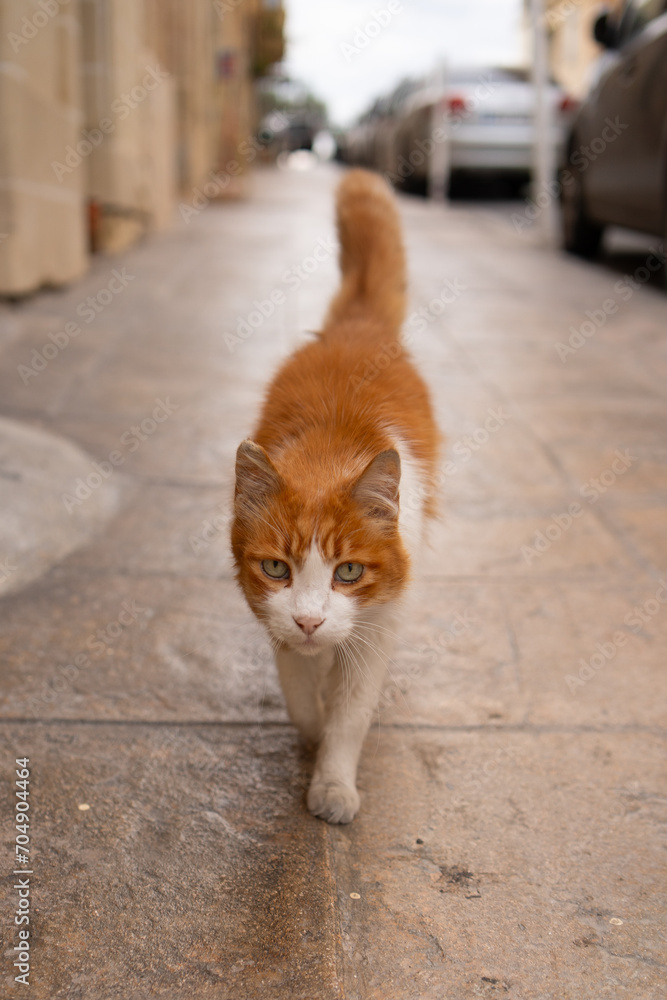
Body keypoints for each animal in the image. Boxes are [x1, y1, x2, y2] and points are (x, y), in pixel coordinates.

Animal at [232, 168, 440, 824]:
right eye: (277, 567)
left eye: (348, 571)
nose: (309, 620)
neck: (331, 448)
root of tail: (356, 327)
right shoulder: (272, 617)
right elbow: (300, 693)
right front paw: (313, 728)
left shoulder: (378, 624)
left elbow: (351, 713)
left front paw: (333, 782)